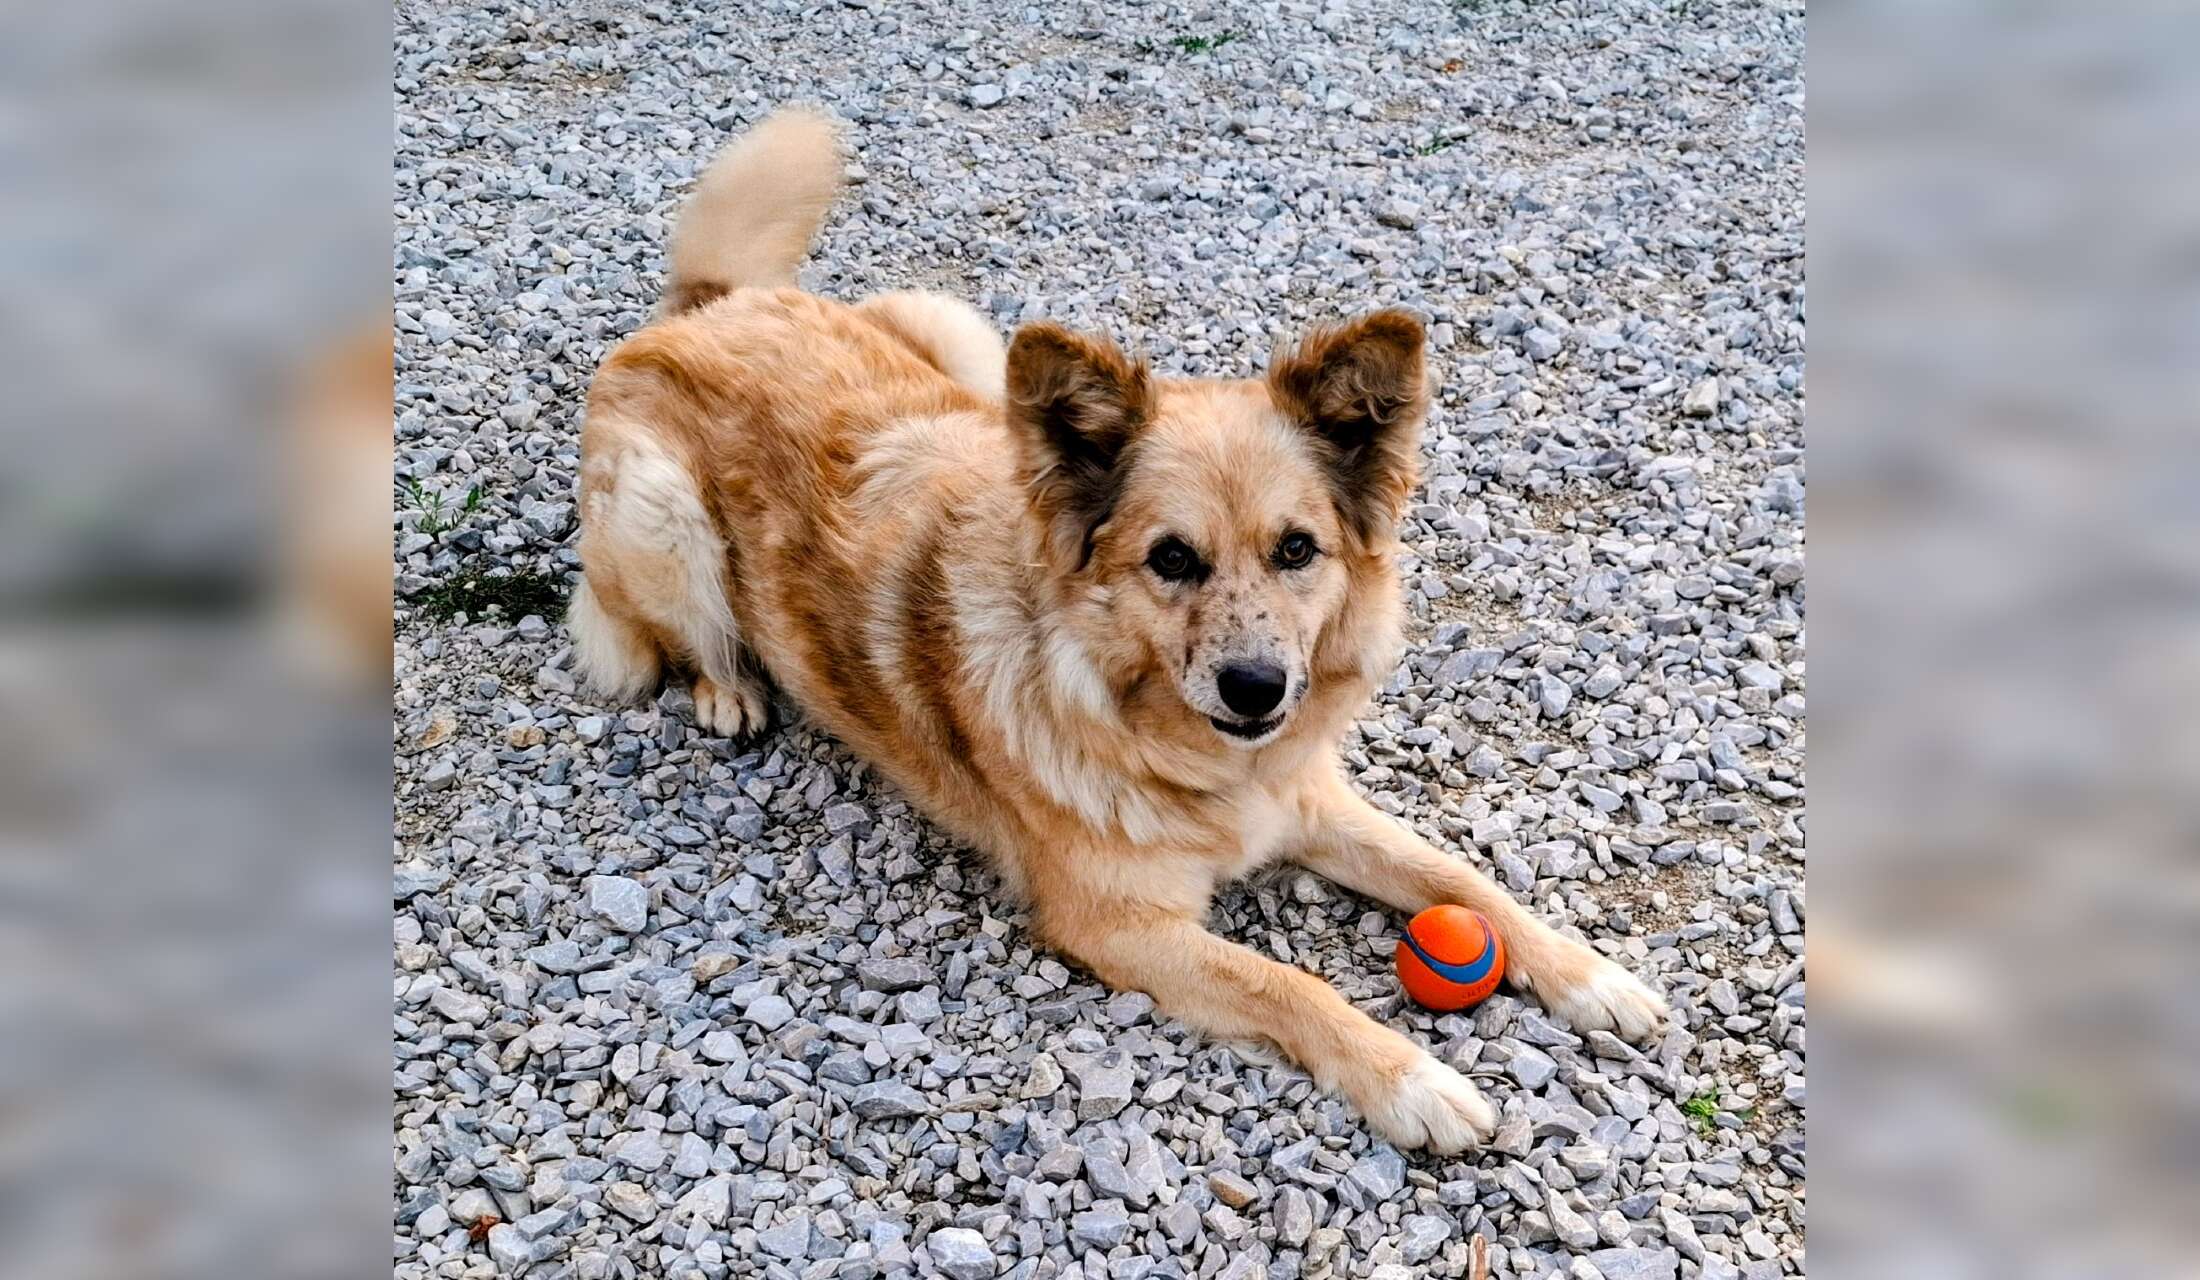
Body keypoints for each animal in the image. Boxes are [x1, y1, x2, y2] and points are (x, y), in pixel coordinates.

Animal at [571, 109, 1668, 1151]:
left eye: (1297, 549)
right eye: (1171, 559)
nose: (1258, 688)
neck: (1181, 749)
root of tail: (712, 304)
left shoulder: (1311, 801)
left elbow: (1462, 877)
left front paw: (1590, 974)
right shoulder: (1119, 922)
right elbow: (1291, 983)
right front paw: (1416, 1082)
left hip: (960, 337)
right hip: (662, 509)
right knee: (663, 627)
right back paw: (727, 688)